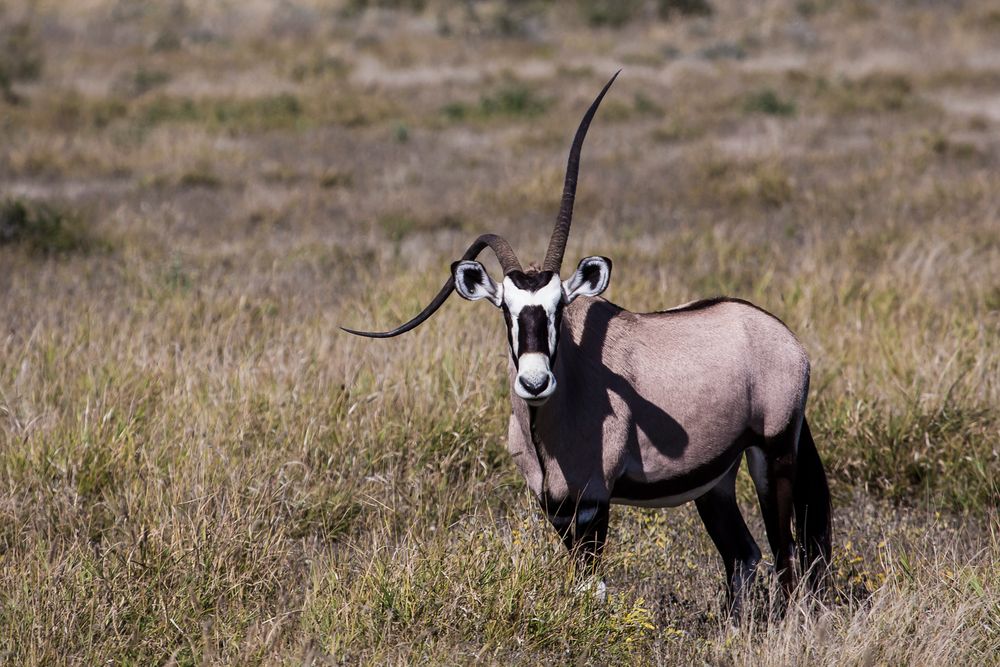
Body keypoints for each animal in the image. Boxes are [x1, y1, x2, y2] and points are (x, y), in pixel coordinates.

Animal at [344, 72, 828, 612]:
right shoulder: (555, 508)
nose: (535, 382)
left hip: (773, 452)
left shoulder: (593, 502)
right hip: (715, 480)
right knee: (743, 555)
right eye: (506, 309)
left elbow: (590, 588)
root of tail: (783, 337)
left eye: (559, 306)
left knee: (786, 556)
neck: (549, 418)